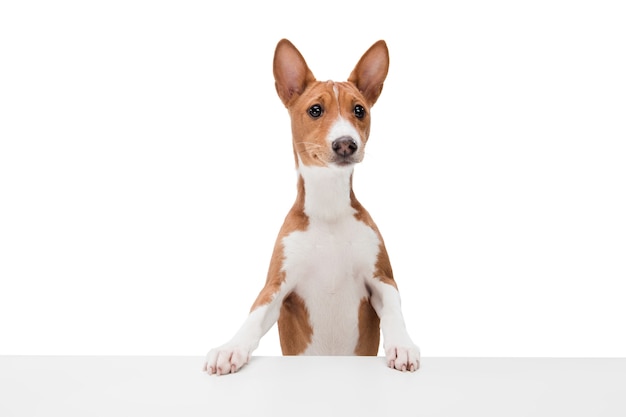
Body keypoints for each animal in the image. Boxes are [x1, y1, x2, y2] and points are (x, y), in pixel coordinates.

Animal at [205, 39, 420, 376]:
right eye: (315, 110)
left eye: (359, 110)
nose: (346, 143)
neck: (329, 210)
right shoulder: (278, 286)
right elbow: (254, 315)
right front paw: (230, 349)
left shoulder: (381, 279)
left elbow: (394, 311)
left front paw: (403, 346)